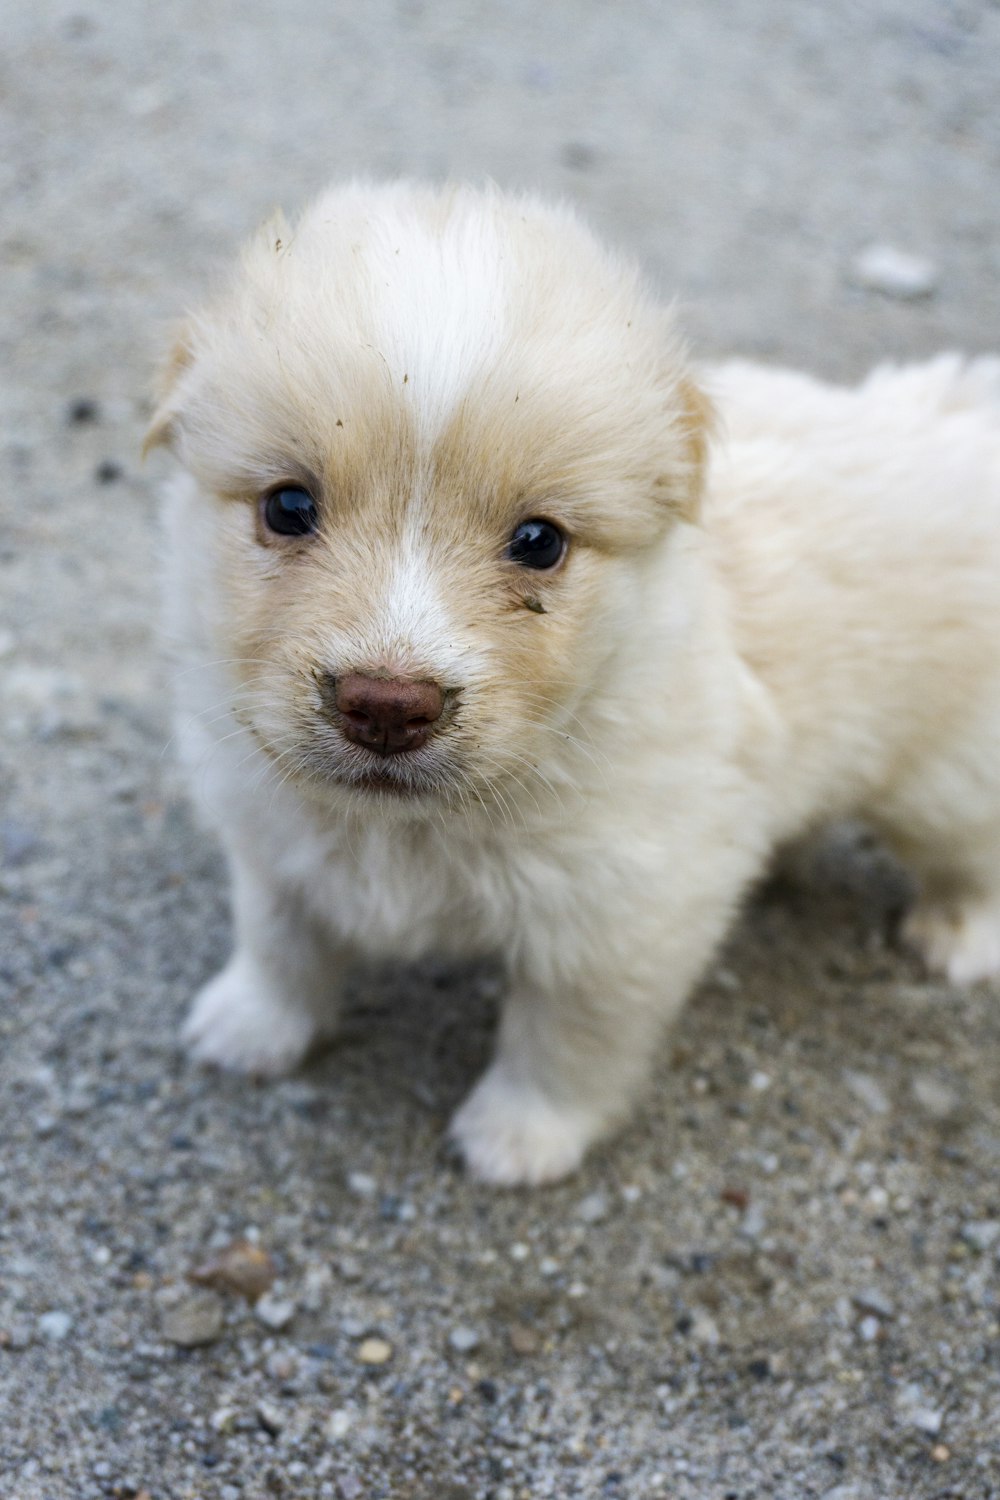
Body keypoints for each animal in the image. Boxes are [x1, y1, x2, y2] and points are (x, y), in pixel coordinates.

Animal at [148, 178, 1000, 1182]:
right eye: (287, 506)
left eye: (538, 541)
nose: (387, 707)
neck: (411, 828)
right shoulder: (273, 837)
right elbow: (281, 939)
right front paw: (251, 1028)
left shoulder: (623, 918)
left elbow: (566, 1039)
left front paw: (519, 1138)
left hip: (950, 778)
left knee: (972, 851)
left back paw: (961, 934)